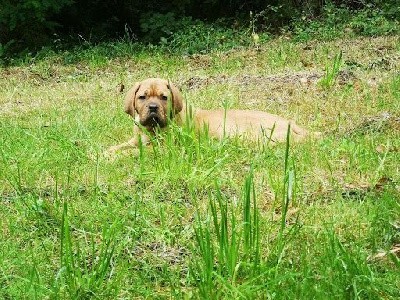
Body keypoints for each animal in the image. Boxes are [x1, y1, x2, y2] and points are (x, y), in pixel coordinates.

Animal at [108, 77, 312, 154]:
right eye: (142, 97)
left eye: (164, 97)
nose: (152, 107)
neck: (152, 129)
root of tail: (291, 123)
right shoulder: (136, 140)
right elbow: (117, 147)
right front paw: (105, 153)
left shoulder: (165, 148)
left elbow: (133, 152)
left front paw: (116, 157)